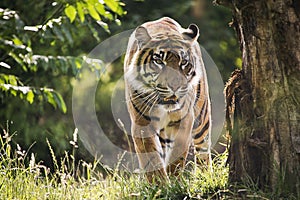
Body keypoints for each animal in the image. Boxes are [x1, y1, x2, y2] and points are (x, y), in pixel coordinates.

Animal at [123, 17, 212, 182]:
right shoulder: (141, 123)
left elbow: (178, 153)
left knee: (203, 151)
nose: (175, 86)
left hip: (202, 121)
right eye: (159, 61)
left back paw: (206, 176)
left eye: (183, 62)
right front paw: (160, 184)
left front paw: (175, 180)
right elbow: (151, 158)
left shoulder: (185, 120)